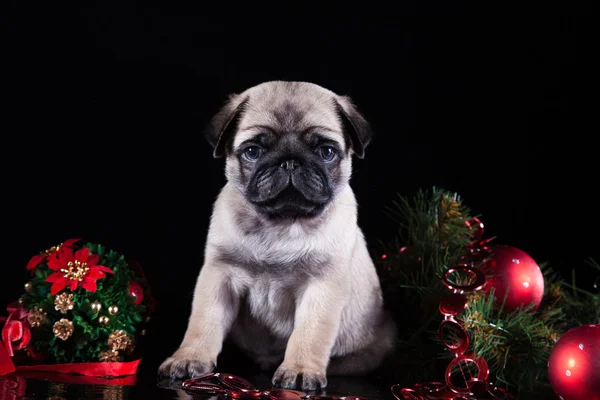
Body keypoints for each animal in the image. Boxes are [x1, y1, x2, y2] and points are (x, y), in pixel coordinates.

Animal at [157, 80, 396, 390]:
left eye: (327, 152)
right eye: (253, 151)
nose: (290, 162)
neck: (281, 223)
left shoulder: (322, 287)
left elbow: (309, 333)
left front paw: (300, 369)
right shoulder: (219, 276)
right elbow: (203, 322)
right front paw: (189, 358)